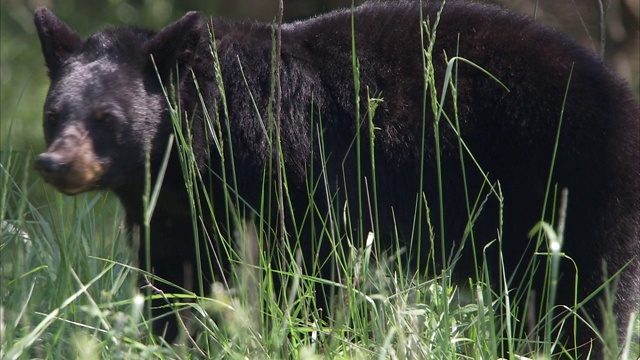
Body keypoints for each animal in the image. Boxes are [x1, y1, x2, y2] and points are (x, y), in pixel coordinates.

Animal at [33, 1, 636, 358]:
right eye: (54, 113)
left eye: (106, 118)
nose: (54, 163)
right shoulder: (172, 210)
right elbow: (172, 283)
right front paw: (171, 341)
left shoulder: (297, 175)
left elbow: (312, 278)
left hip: (580, 183)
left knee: (588, 293)